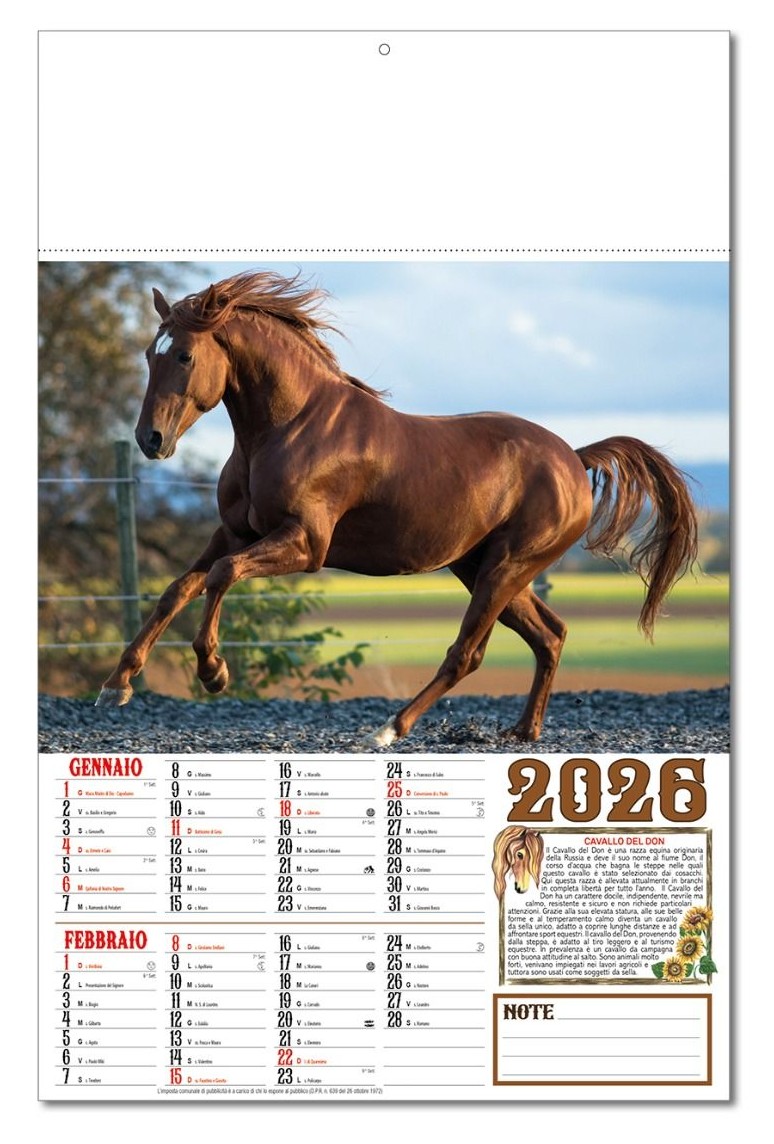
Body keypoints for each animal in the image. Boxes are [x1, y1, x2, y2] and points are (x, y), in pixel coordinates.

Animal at [96, 270, 698, 746]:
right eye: (149, 354)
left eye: (185, 354)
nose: (150, 439)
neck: (289, 427)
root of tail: (574, 458)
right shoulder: (234, 532)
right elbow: (178, 588)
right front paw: (116, 685)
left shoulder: (305, 544)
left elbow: (220, 577)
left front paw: (214, 671)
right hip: (483, 567)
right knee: (549, 635)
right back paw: (523, 731)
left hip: (505, 568)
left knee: (468, 653)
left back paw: (389, 729)